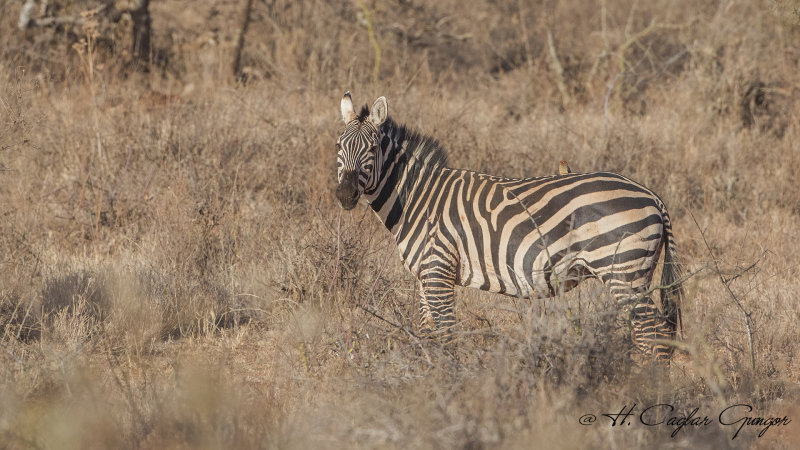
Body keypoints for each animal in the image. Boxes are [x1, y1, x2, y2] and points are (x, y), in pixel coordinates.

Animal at [334, 91, 684, 362]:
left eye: (373, 149)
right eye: (338, 146)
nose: (345, 194)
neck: (418, 198)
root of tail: (652, 195)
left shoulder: (439, 270)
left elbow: (446, 336)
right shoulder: (425, 275)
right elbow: (427, 334)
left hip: (622, 271)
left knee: (653, 336)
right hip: (634, 273)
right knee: (652, 335)